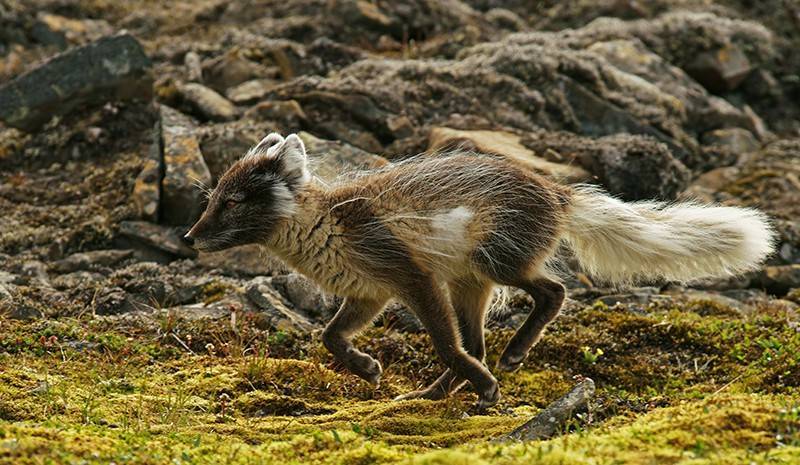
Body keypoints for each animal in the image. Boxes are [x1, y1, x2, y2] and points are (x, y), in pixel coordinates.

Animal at [184, 132, 775, 408]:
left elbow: (443, 344)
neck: (323, 226)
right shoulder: (370, 292)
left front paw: (484, 388)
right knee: (478, 341)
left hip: (493, 261)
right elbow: (329, 336)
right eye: (210, 199)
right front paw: (368, 369)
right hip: (469, 284)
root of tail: (558, 192)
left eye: (233, 202)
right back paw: (437, 393)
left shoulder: (410, 276)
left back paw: (503, 364)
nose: (189, 238)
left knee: (551, 293)